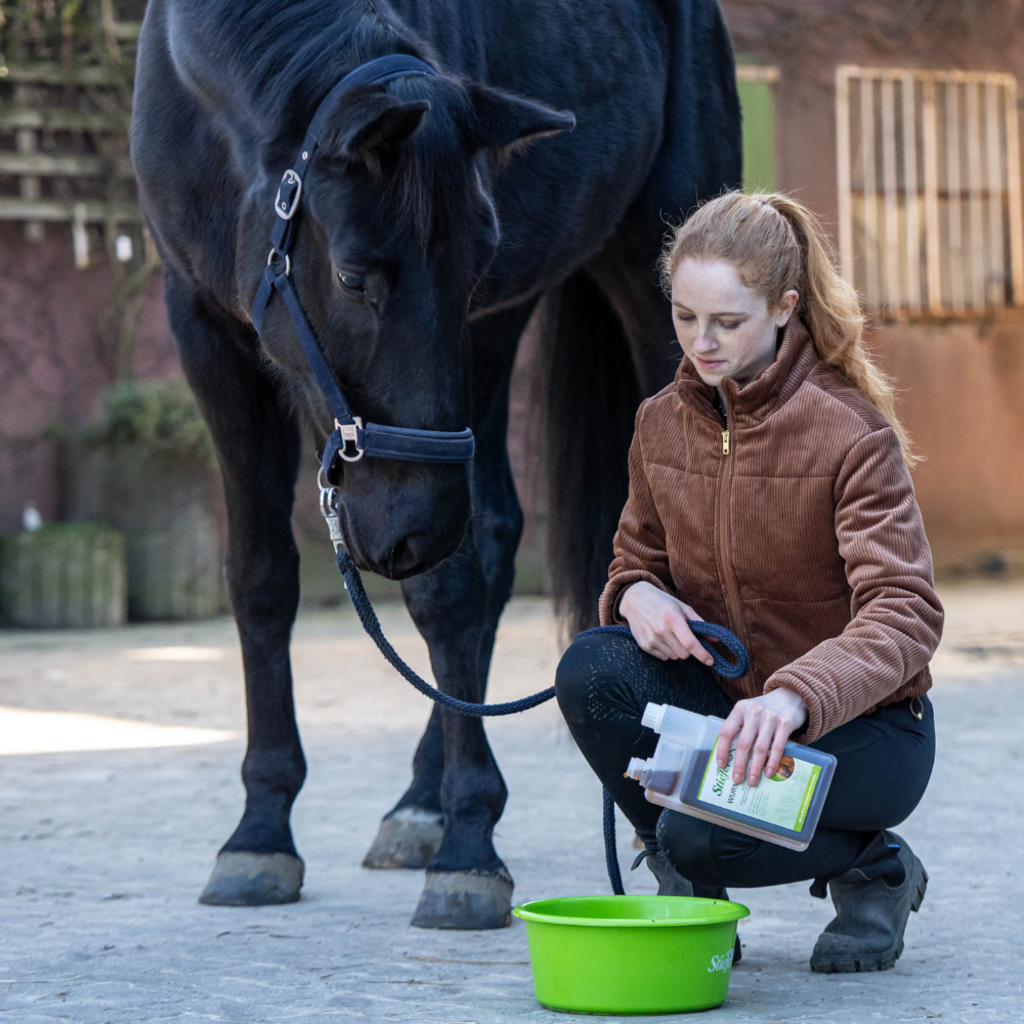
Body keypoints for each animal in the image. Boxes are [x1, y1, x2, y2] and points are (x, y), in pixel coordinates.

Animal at [130, 0, 741, 930]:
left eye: (475, 262)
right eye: (353, 274)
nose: (411, 529)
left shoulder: (481, 321)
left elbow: (451, 586)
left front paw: (469, 850)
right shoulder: (202, 322)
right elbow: (261, 579)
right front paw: (260, 835)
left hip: (651, 280)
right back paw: (417, 804)